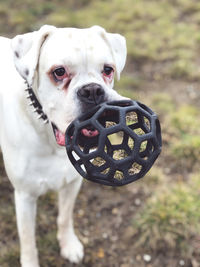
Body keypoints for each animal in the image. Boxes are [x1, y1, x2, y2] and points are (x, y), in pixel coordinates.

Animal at [0, 24, 126, 266]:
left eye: (108, 70)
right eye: (59, 72)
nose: (92, 90)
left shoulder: (72, 183)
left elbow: (65, 217)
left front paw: (68, 244)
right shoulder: (25, 196)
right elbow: (28, 239)